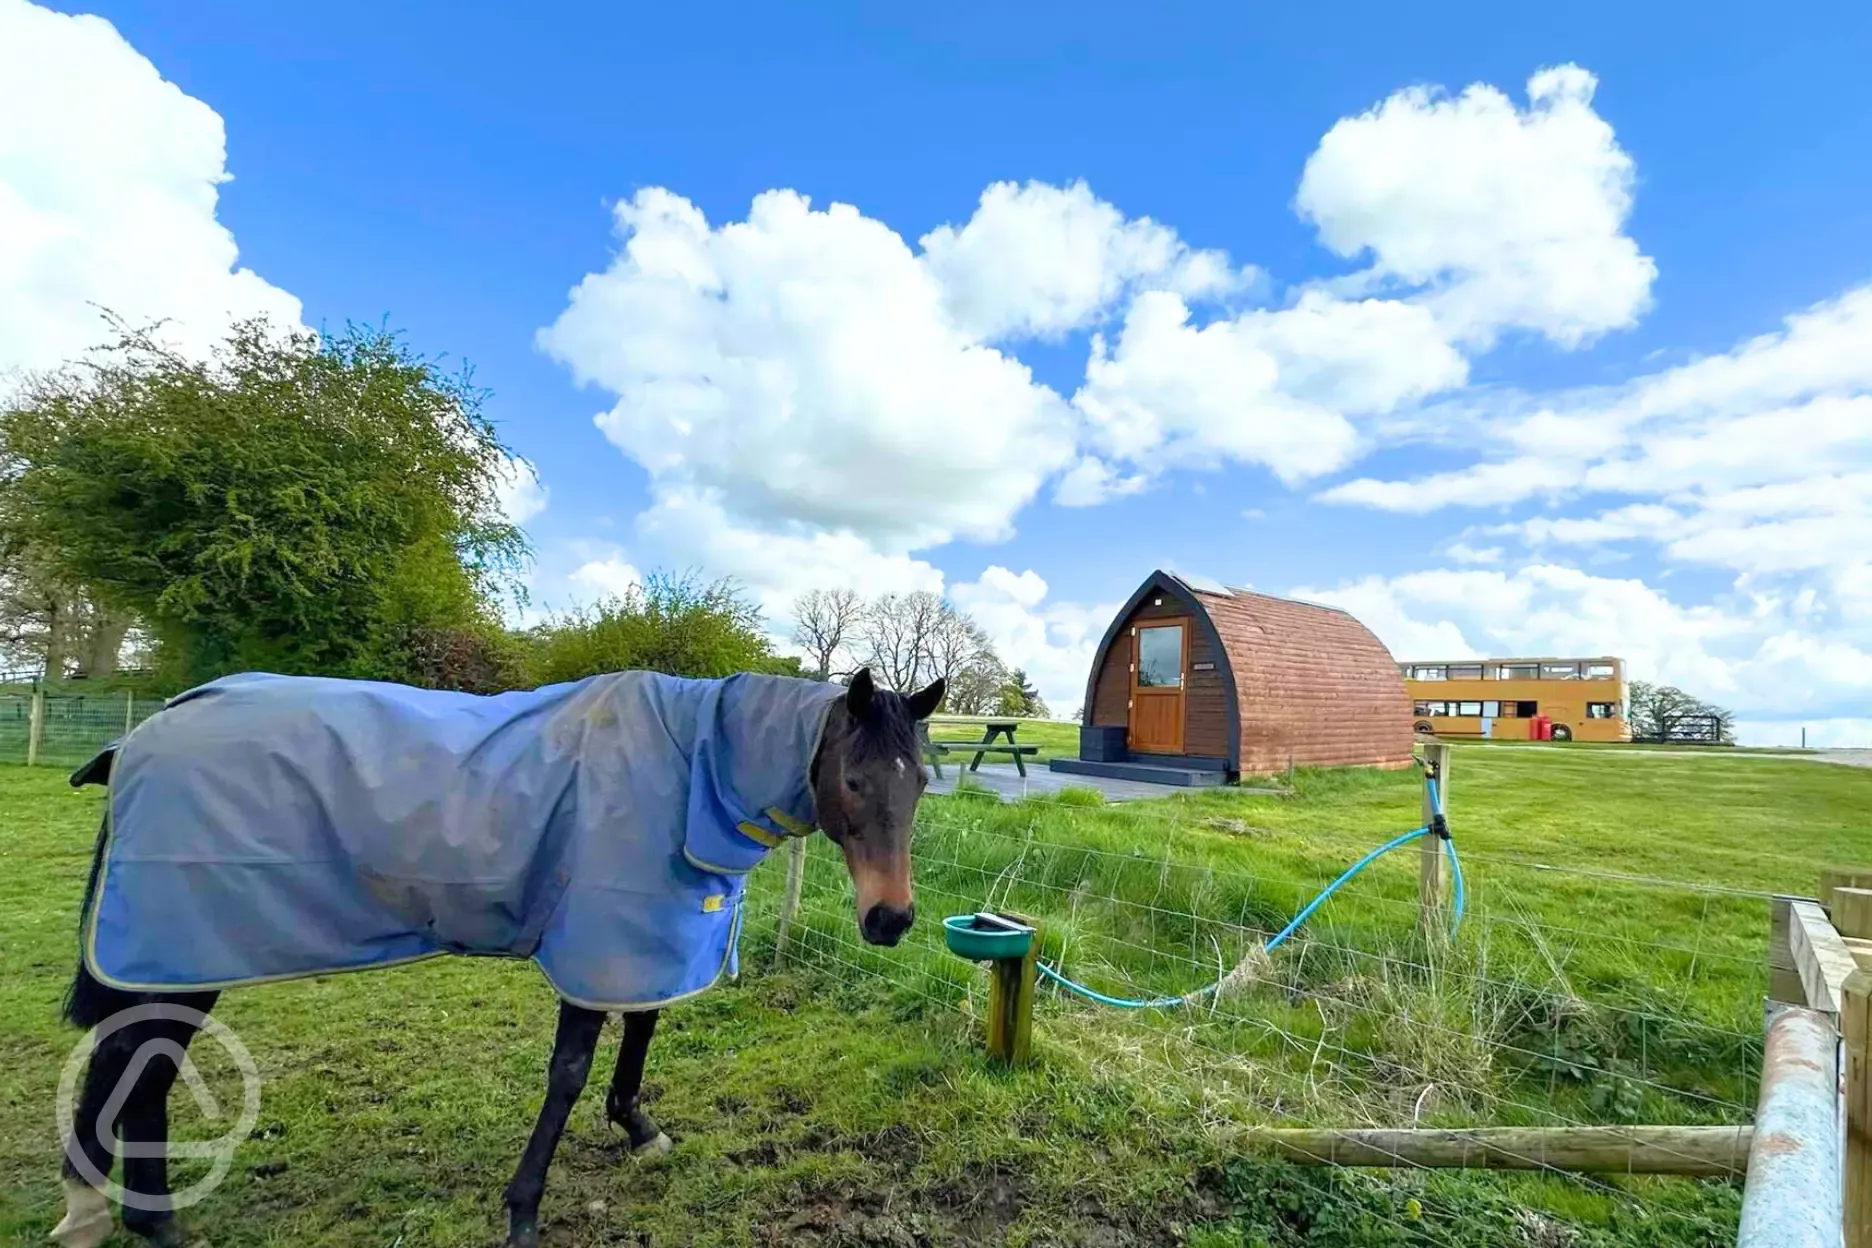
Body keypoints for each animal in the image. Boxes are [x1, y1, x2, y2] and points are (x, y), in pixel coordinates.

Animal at [51, 665, 942, 1248]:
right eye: (854, 781)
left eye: (921, 783)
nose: (890, 919)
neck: (692, 768)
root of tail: (142, 735)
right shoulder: (599, 939)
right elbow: (569, 1073)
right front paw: (523, 1211)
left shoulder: (649, 935)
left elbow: (644, 1029)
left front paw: (639, 1129)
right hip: (178, 955)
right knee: (140, 1064)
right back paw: (152, 1223)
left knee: (131, 1065)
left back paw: (108, 1212)